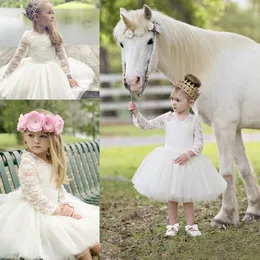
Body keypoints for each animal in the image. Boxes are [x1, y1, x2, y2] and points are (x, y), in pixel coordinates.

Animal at [114, 5, 260, 226]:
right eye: (122, 43)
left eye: (149, 41)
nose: (132, 82)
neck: (209, 64)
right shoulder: (234, 129)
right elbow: (244, 168)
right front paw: (253, 211)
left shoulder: (223, 127)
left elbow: (226, 172)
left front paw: (224, 217)